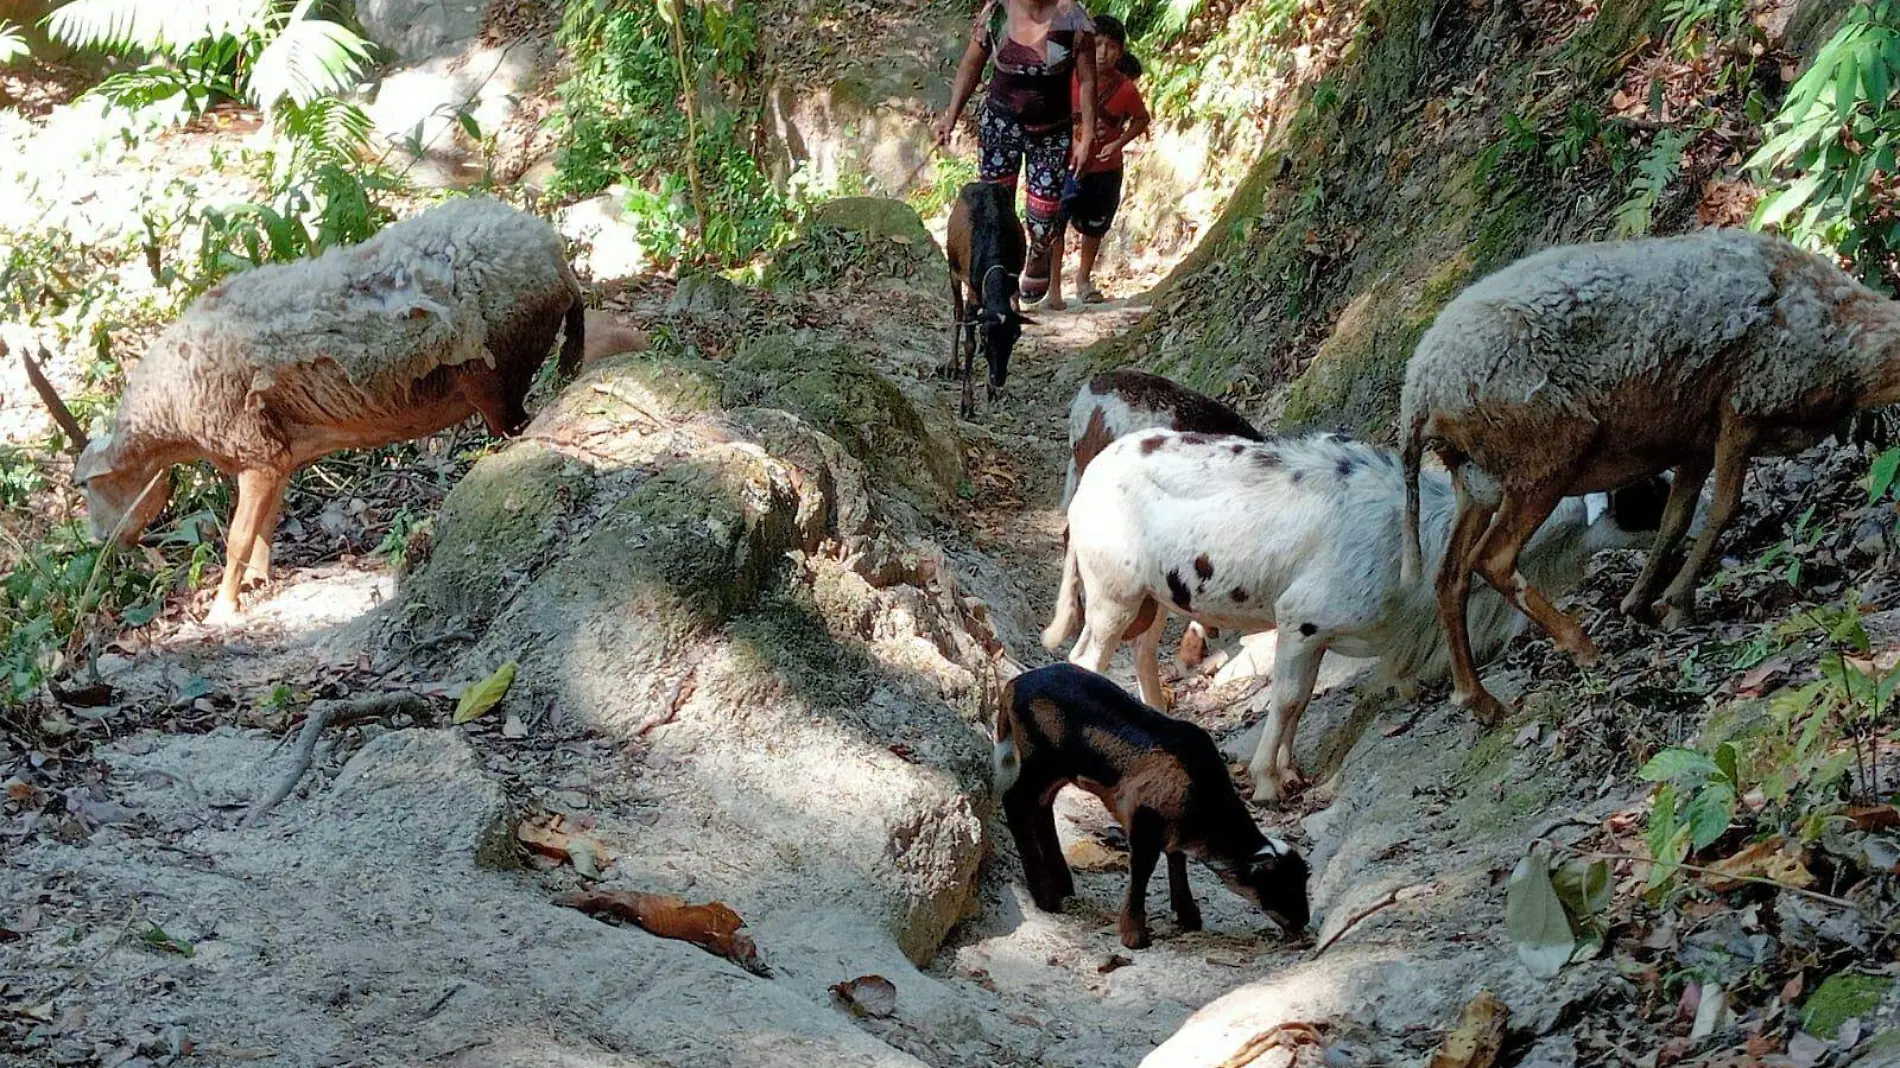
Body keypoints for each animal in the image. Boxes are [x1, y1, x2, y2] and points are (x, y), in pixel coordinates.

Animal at [1048, 427, 1672, 801]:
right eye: (1641, 495)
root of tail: (1090, 478)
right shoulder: (1302, 620)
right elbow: (1288, 700)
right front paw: (1269, 783)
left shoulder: (1318, 636)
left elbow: (1300, 703)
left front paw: (1288, 770)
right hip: (1113, 591)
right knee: (1087, 660)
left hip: (1149, 598)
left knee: (1139, 650)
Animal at [1398, 228, 1900, 718]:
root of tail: (1418, 395)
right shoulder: (1742, 408)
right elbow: (1724, 508)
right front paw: (1676, 605)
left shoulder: (1697, 437)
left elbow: (1674, 520)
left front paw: (1638, 603)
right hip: (1542, 456)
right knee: (1492, 560)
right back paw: (1582, 647)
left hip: (1477, 481)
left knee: (1448, 574)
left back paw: (1479, 699)